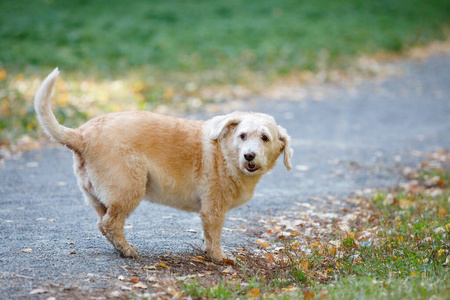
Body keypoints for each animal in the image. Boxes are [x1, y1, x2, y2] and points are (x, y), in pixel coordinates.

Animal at [36, 68, 296, 262]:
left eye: (265, 138)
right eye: (242, 135)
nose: (249, 156)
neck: (226, 154)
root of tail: (82, 135)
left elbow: (207, 235)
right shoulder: (213, 210)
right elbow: (215, 235)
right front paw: (218, 257)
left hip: (99, 197)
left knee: (102, 223)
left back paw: (120, 248)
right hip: (128, 189)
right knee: (111, 223)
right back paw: (128, 250)